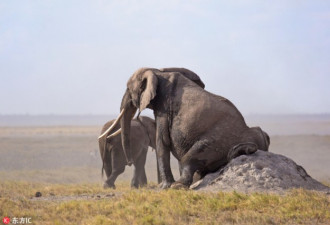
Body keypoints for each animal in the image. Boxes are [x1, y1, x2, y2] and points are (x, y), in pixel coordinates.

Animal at [107, 67, 270, 189]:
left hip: (220, 140)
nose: (129, 162)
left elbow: (162, 142)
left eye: (128, 89)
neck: (158, 72)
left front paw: (164, 187)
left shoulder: (164, 108)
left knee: (190, 158)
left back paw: (178, 186)